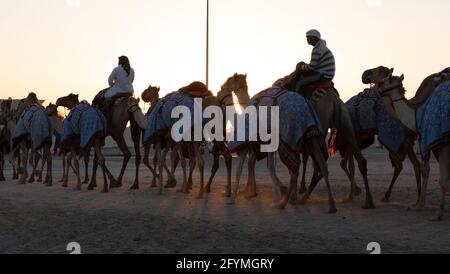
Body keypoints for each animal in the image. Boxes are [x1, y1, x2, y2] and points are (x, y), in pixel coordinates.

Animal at [374, 73, 450, 220]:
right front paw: (419, 205)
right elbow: (426, 170)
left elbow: (442, 179)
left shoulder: (440, 143)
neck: (417, 113)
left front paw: (438, 212)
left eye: (387, 80)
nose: (377, 87)